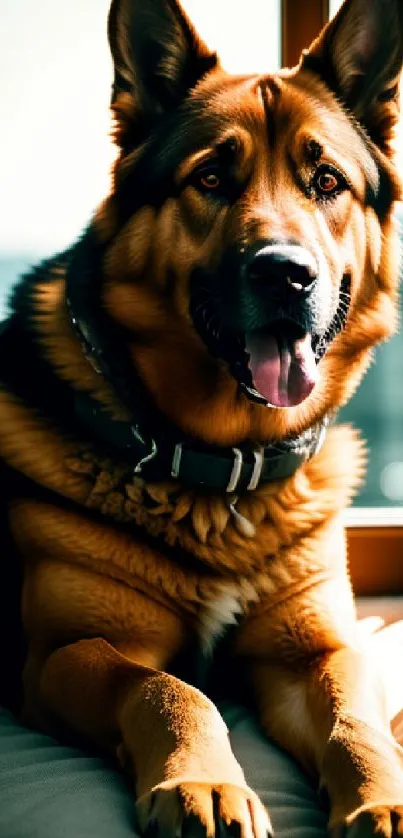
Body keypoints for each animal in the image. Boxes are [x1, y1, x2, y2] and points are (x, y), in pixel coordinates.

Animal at [0, 0, 403, 836]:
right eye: (211, 178)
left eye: (326, 181)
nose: (285, 275)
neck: (225, 472)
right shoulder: (67, 653)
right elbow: (169, 689)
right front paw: (205, 783)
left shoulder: (313, 653)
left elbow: (357, 722)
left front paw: (382, 798)